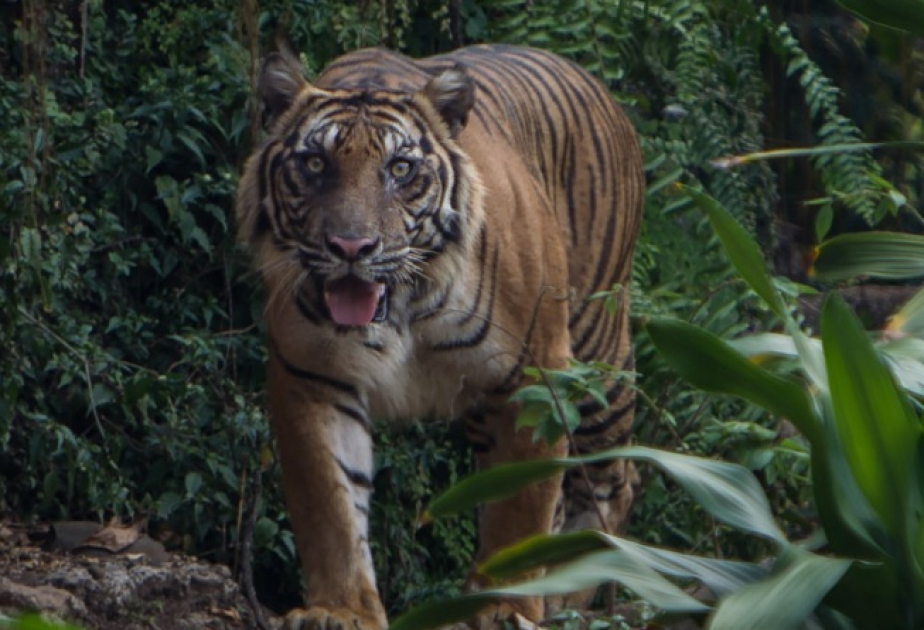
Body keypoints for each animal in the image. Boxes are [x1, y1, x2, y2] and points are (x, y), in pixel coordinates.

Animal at [235, 43, 644, 630]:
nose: (351, 247)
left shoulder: (534, 374)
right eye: (315, 164)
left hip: (596, 360)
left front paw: (504, 608)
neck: (402, 307)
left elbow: (521, 507)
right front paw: (339, 610)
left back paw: (566, 595)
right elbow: (330, 503)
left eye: (399, 169)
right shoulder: (312, 376)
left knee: (615, 478)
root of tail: (597, 83)